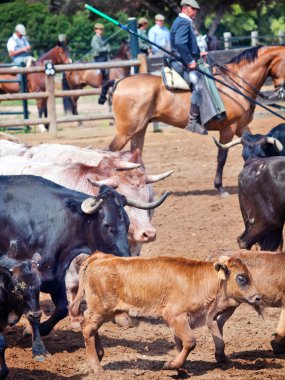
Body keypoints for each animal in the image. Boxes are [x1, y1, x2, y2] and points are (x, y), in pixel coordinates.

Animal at [0, 175, 166, 336]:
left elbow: (62, 308)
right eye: (106, 225)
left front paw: (40, 329)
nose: (124, 256)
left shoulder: (56, 277)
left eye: (127, 222)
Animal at [69, 252, 260, 374]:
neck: (201, 282)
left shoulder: (180, 322)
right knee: (88, 328)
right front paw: (172, 365)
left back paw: (99, 355)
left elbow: (181, 344)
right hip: (101, 309)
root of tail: (99, 257)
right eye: (242, 278)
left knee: (87, 324)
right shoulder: (175, 316)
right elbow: (190, 342)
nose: (258, 297)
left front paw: (180, 367)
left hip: (101, 311)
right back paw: (96, 368)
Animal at [105, 45, 284, 196]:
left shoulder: (242, 127)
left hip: (139, 130)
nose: (281, 92)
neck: (235, 84)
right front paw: (220, 187)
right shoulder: (228, 129)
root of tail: (120, 82)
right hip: (125, 131)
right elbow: (222, 157)